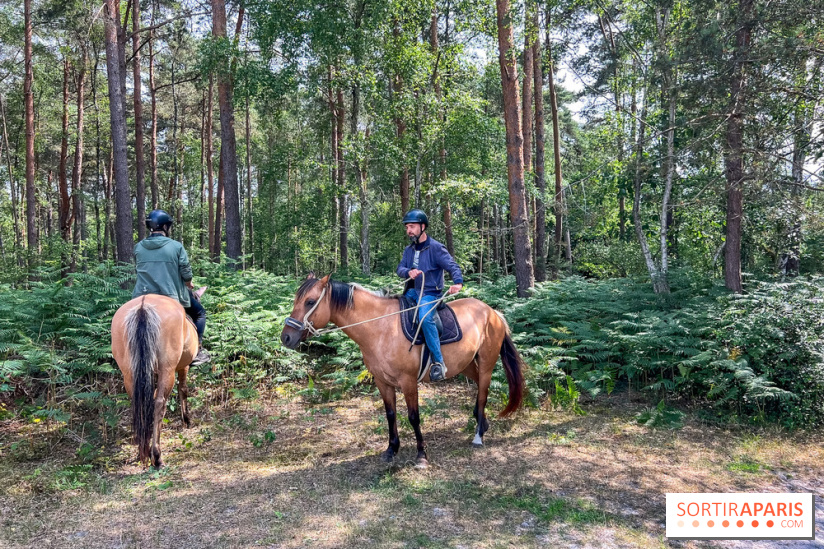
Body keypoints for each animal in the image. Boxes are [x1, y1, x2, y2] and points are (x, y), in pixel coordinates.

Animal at [111, 288, 205, 468]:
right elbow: (183, 390)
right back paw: (157, 456)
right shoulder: (183, 367)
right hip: (167, 370)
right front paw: (186, 420)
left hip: (130, 374)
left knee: (140, 404)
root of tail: (143, 307)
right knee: (160, 403)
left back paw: (144, 452)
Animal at [280, 274, 525, 467]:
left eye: (310, 301)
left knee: (483, 394)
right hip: (465, 365)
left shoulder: (408, 382)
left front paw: (421, 455)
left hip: (486, 364)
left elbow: (414, 417)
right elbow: (390, 415)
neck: (380, 328)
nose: (286, 337)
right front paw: (391, 449)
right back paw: (482, 424)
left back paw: (478, 435)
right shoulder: (382, 381)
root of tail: (492, 312)